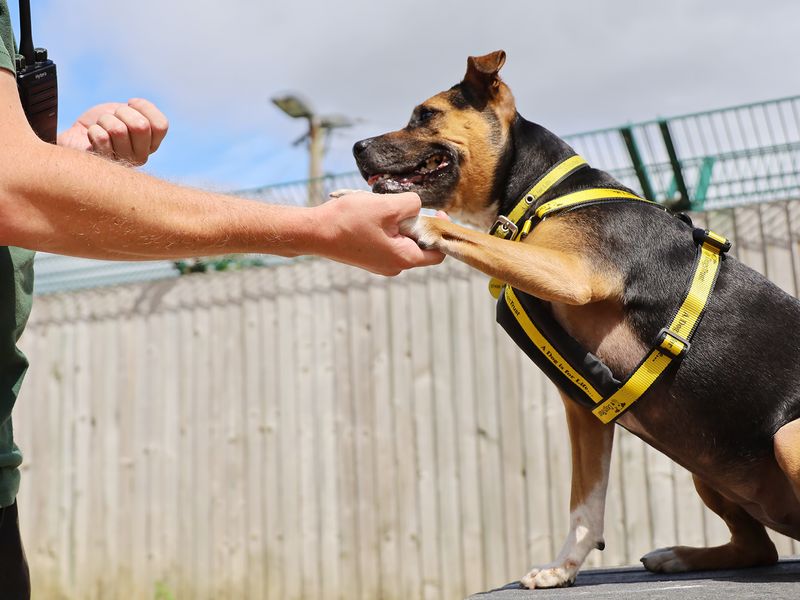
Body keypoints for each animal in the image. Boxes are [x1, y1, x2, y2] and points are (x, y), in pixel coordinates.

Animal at [348, 50, 800, 584]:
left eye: (425, 115)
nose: (356, 148)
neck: (540, 191)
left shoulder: (572, 273)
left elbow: (465, 235)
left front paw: (408, 218)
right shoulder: (585, 404)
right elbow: (585, 504)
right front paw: (562, 568)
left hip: (787, 438)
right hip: (708, 469)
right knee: (758, 548)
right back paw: (679, 556)